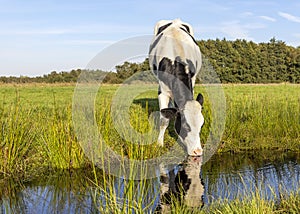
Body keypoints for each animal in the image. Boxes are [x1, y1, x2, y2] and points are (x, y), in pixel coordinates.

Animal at [149, 18, 205, 155]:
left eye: (201, 125)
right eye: (185, 126)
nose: (197, 151)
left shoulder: (192, 81)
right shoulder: (162, 91)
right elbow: (164, 119)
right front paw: (159, 143)